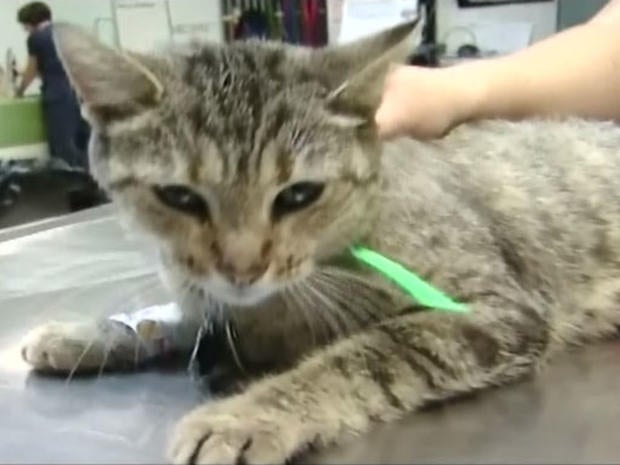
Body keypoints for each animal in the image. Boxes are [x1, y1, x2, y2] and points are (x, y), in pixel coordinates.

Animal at [20, 20, 620, 465]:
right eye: (180, 197)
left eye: (299, 195)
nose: (243, 267)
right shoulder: (212, 301)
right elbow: (175, 316)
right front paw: (88, 335)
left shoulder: (495, 311)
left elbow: (364, 358)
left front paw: (246, 414)